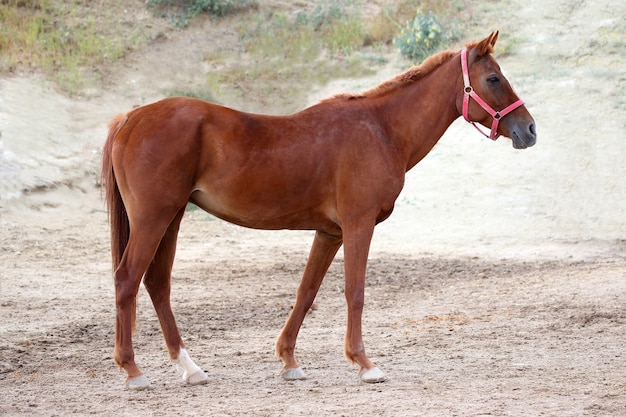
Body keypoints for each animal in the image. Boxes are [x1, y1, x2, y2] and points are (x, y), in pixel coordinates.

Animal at [101, 31, 532, 390]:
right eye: (494, 79)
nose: (529, 130)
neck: (380, 128)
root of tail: (130, 118)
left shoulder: (330, 233)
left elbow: (306, 292)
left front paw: (289, 361)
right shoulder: (359, 225)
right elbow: (354, 291)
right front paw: (365, 363)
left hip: (171, 219)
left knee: (157, 284)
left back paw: (190, 368)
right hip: (153, 219)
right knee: (127, 279)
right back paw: (133, 371)